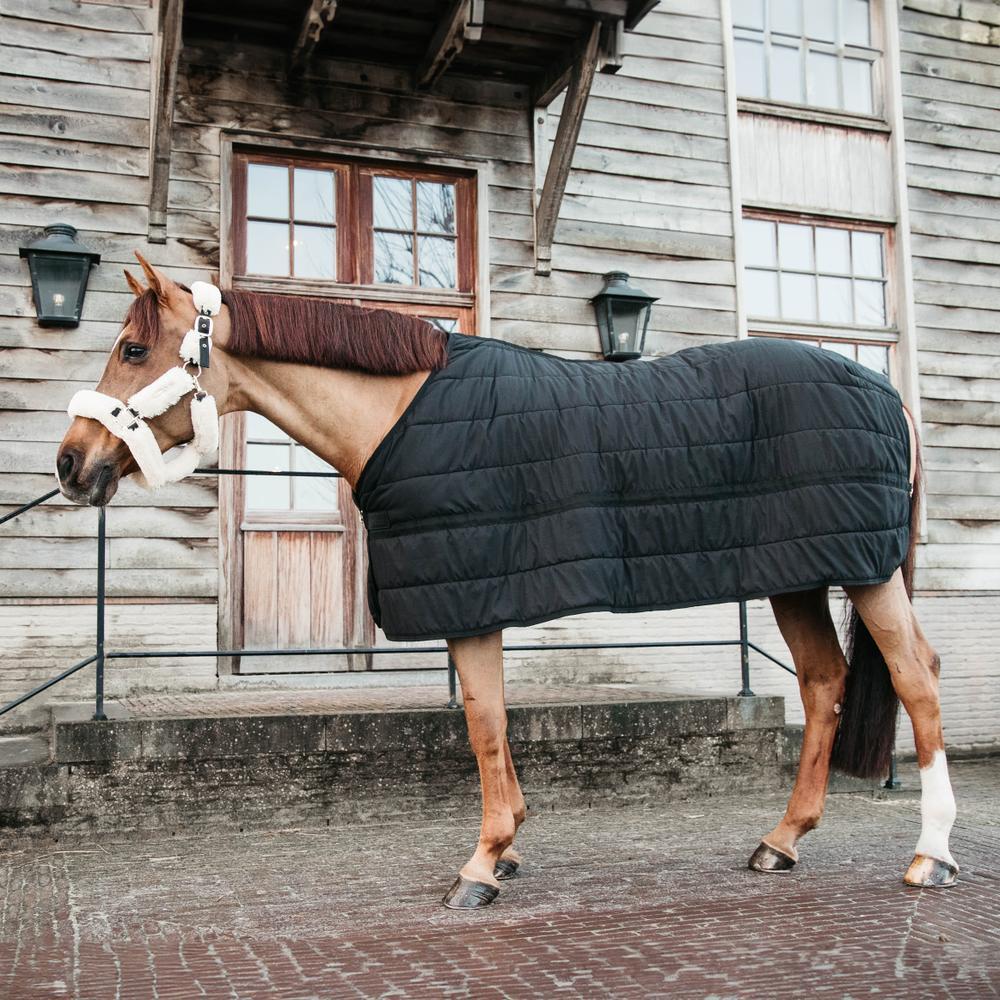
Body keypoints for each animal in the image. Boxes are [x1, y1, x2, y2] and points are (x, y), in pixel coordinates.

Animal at [55, 253, 958, 908]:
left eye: (133, 350)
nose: (69, 464)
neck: (403, 411)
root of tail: (886, 393)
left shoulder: (471, 602)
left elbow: (484, 723)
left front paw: (483, 865)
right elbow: (489, 723)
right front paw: (510, 844)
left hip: (867, 575)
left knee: (916, 678)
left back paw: (931, 855)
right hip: (800, 574)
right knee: (824, 682)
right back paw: (782, 841)